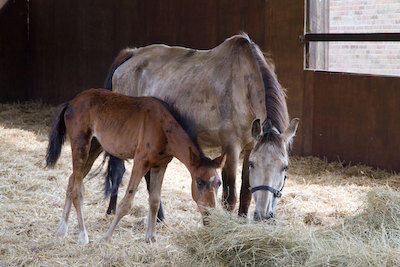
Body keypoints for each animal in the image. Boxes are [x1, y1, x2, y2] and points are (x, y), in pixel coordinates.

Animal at [46, 89, 225, 244]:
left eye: (219, 183)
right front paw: (106, 238)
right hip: (81, 145)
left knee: (72, 181)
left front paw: (151, 238)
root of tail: (71, 102)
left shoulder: (160, 165)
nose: (210, 217)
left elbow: (154, 200)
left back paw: (61, 230)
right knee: (77, 189)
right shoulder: (141, 161)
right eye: (199, 182)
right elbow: (126, 202)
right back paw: (83, 236)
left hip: (94, 147)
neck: (163, 127)